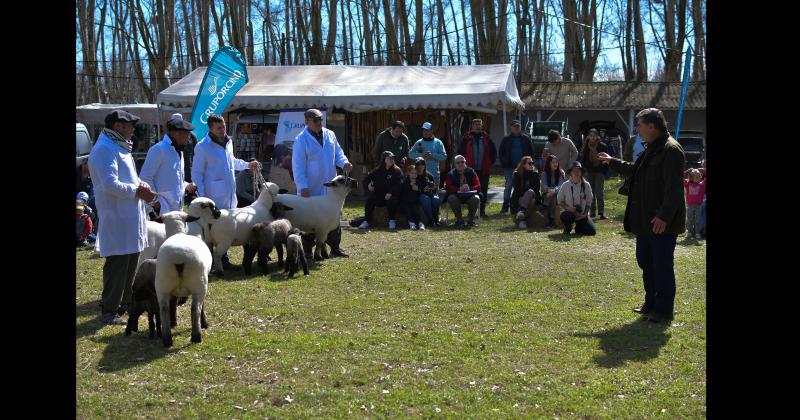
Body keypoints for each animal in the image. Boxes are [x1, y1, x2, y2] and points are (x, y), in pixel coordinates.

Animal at [155, 212, 212, 346]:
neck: (177, 233)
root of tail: (179, 258)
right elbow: (202, 306)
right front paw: (204, 323)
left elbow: (173, 302)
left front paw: (174, 323)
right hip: (199, 283)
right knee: (195, 309)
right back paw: (196, 337)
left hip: (162, 284)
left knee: (164, 309)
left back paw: (167, 339)